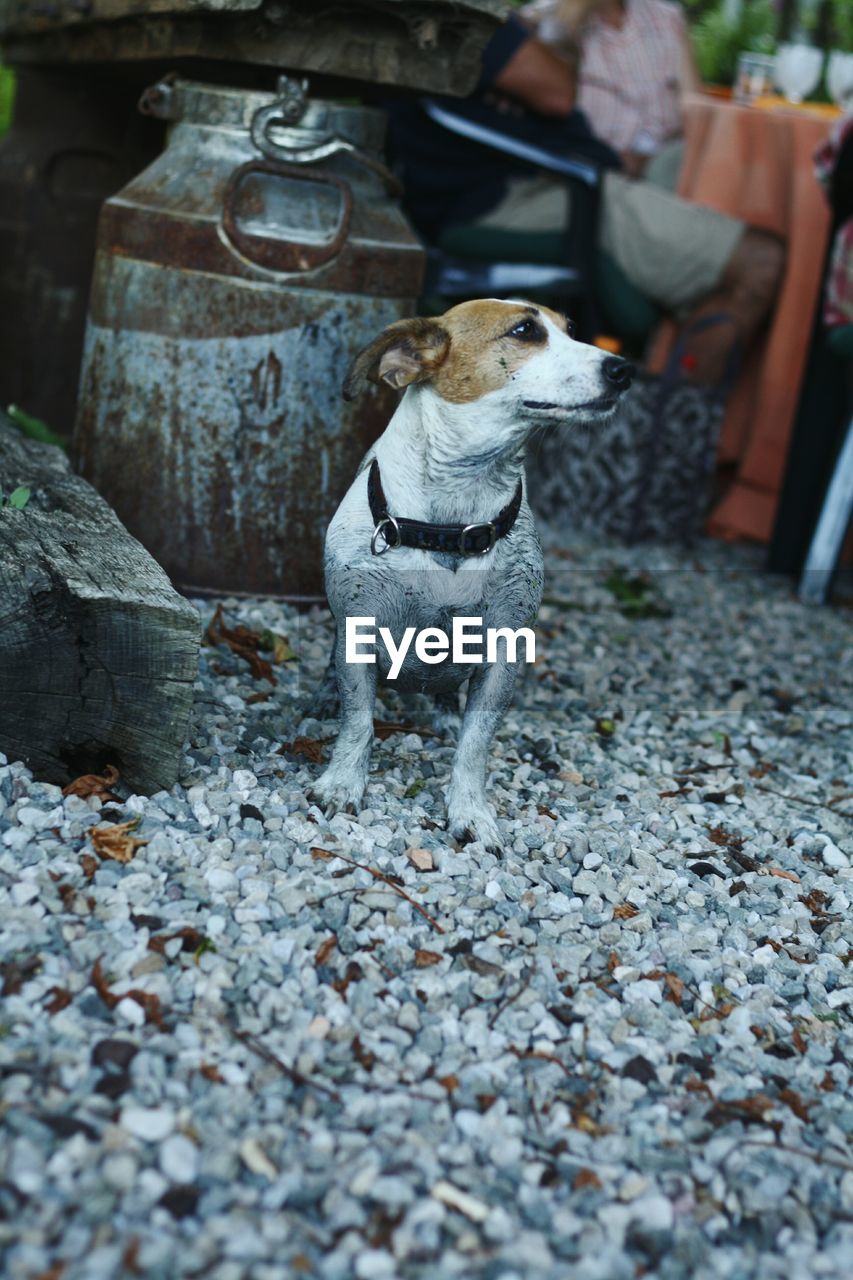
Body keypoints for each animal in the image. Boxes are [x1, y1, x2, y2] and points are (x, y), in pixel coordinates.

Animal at [308, 298, 627, 849]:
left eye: (571, 330)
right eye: (524, 331)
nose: (623, 369)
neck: (452, 521)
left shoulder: (502, 653)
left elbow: (475, 744)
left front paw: (470, 812)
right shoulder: (358, 632)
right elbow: (358, 722)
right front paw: (343, 783)